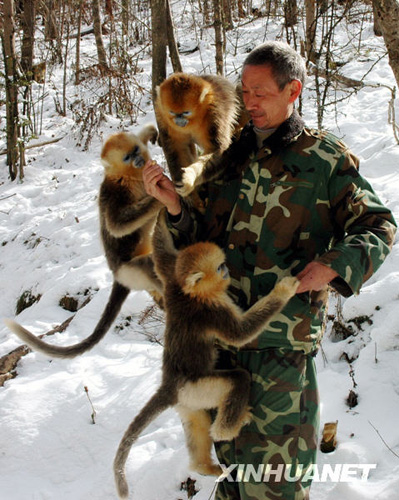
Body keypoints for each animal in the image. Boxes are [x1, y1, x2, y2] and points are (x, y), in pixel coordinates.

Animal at [4, 125, 164, 360]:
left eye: (135, 151)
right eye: (127, 158)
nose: (138, 159)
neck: (130, 176)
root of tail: (118, 276)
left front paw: (150, 132)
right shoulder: (113, 192)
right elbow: (117, 226)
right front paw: (159, 196)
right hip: (130, 271)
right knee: (149, 265)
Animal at [113, 209, 300, 498]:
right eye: (220, 268)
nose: (227, 272)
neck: (189, 294)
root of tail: (169, 386)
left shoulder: (170, 279)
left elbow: (161, 251)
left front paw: (163, 210)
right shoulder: (212, 310)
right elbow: (240, 334)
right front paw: (283, 291)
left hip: (187, 402)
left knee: (198, 423)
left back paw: (202, 466)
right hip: (199, 387)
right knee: (238, 380)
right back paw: (227, 430)